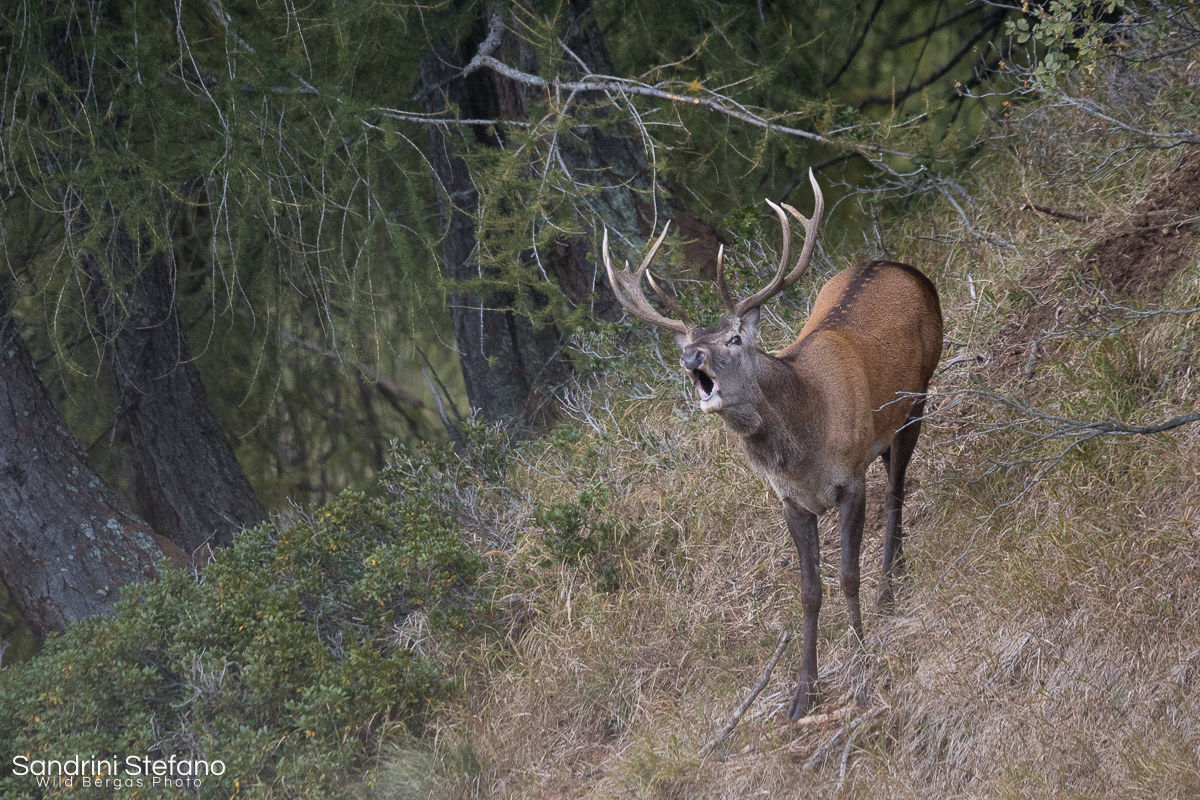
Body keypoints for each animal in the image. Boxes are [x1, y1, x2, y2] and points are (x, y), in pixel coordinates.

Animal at [600, 171, 942, 718]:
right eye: (683, 347)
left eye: (735, 339)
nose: (692, 358)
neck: (802, 452)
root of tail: (901, 266)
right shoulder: (789, 501)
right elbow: (809, 592)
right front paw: (805, 690)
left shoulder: (850, 479)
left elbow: (848, 576)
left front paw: (863, 666)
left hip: (919, 393)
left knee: (896, 488)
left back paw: (890, 586)